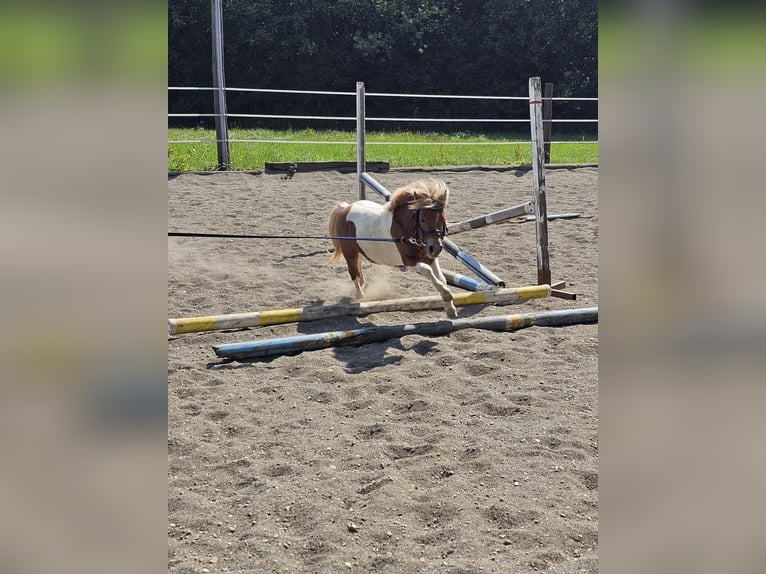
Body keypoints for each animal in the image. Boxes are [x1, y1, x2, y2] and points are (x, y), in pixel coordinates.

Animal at [328, 179, 456, 320]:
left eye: (443, 218)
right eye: (422, 219)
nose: (435, 248)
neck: (406, 230)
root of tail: (345, 208)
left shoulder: (429, 258)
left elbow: (441, 278)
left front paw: (450, 308)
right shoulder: (409, 262)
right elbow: (428, 271)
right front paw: (447, 296)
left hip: (361, 250)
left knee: (359, 265)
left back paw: (363, 284)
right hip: (350, 253)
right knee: (353, 273)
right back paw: (361, 297)